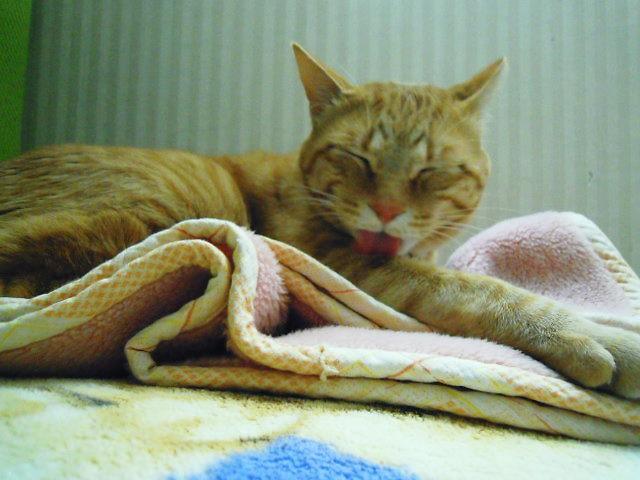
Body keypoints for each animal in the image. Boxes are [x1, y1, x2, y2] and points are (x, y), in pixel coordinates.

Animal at [1, 44, 638, 399]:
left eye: (430, 171)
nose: (387, 210)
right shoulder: (350, 265)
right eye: (357, 159)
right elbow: (484, 293)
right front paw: (593, 337)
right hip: (149, 215)